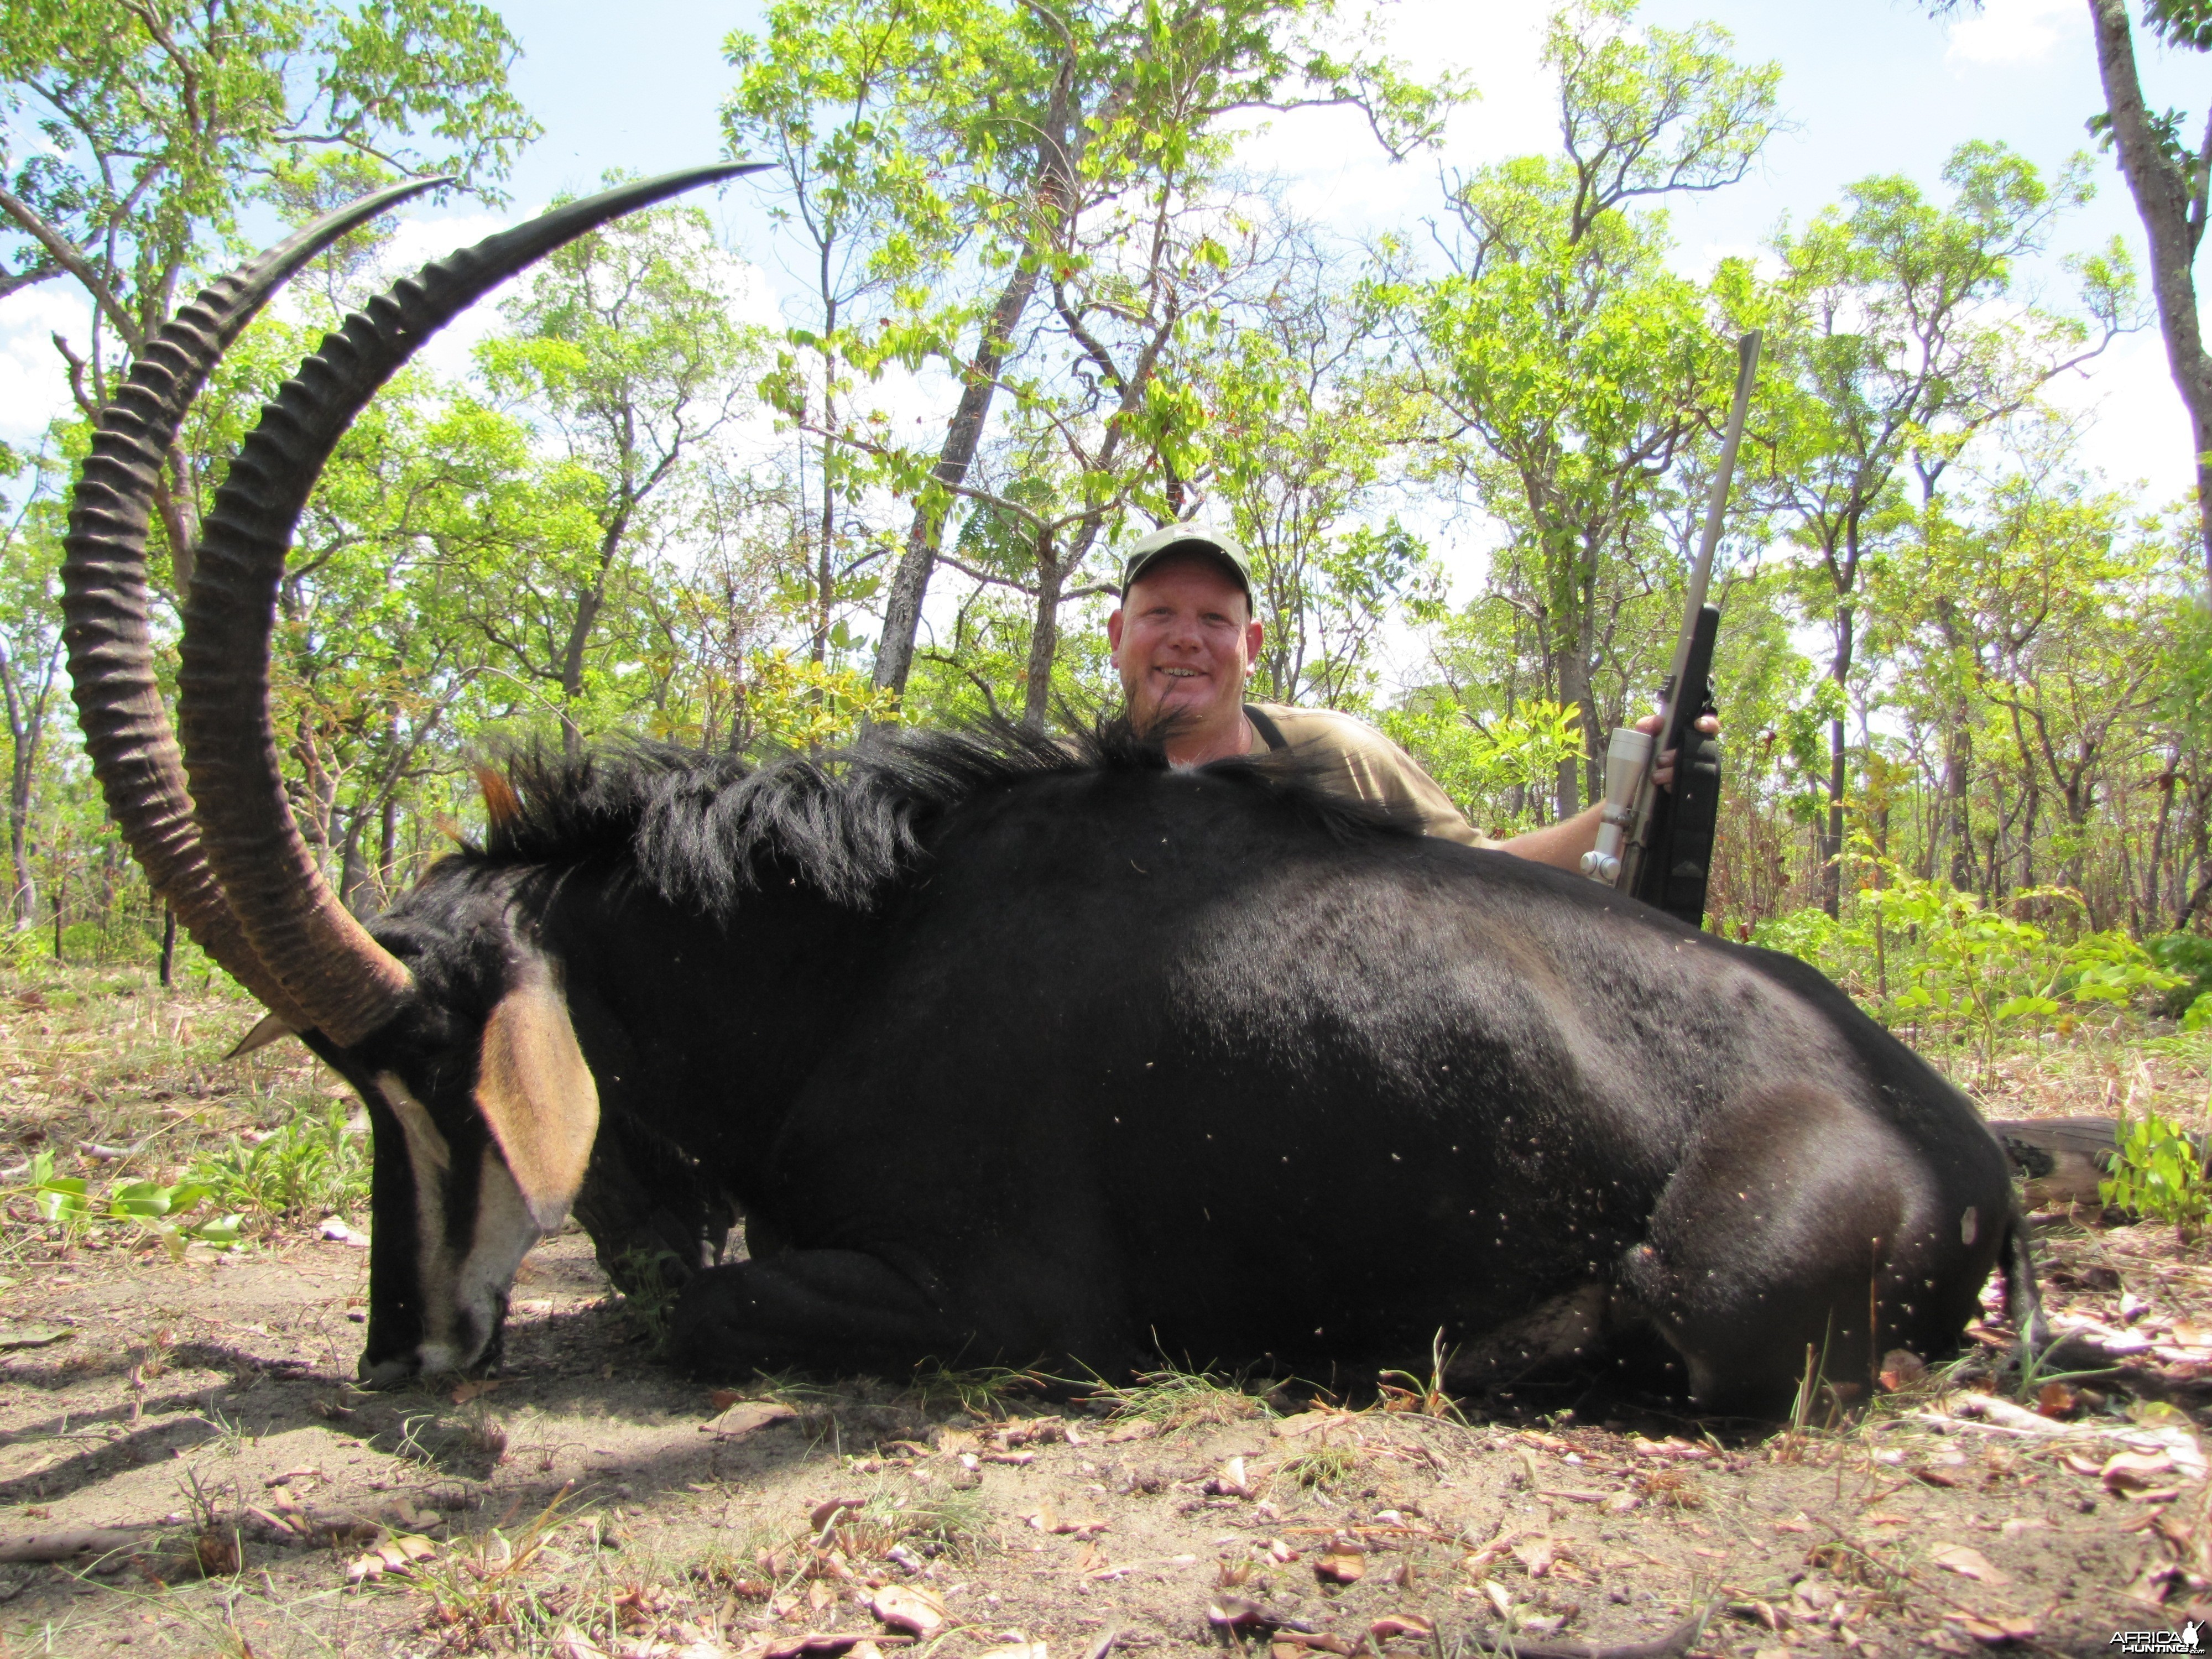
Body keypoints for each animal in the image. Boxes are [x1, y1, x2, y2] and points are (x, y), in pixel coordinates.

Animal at [65, 166, 2035, 1416]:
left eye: (423, 1068)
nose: (403, 1353)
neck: (855, 963)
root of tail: (1954, 1134)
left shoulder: (1005, 1301)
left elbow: (702, 1303)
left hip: (1719, 1279)